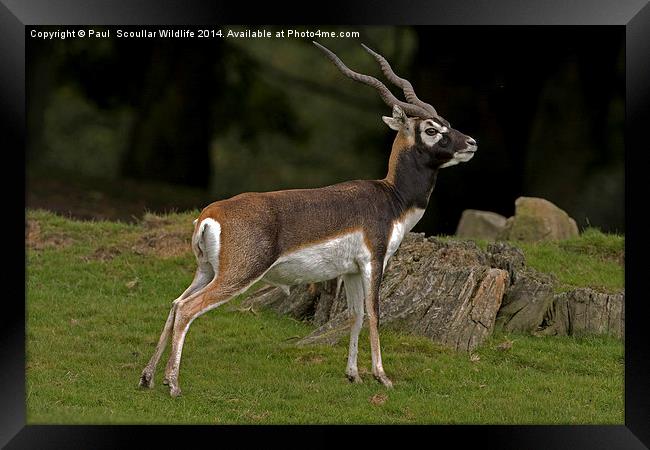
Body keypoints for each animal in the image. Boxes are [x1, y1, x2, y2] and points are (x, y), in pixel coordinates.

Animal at [138, 42, 476, 398]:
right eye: (431, 129)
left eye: (447, 123)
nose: (471, 143)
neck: (391, 197)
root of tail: (209, 215)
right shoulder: (375, 260)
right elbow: (374, 313)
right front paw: (382, 376)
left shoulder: (351, 270)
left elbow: (354, 315)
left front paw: (353, 375)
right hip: (238, 275)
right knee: (188, 309)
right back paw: (173, 384)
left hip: (206, 271)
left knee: (176, 303)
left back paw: (148, 377)